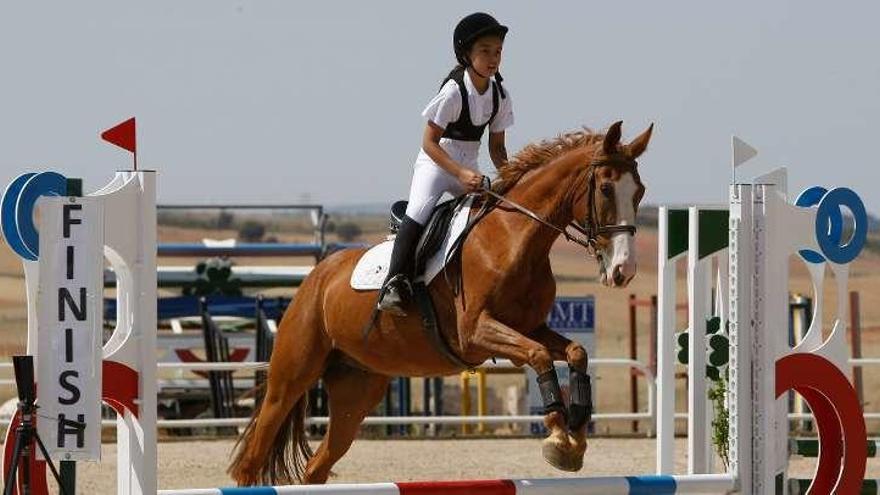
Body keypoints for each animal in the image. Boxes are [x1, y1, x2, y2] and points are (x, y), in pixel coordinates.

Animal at [227, 122, 652, 486]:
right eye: (606, 189)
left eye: (640, 192)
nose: (624, 270)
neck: (513, 238)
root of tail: (317, 276)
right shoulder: (476, 333)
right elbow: (539, 356)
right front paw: (560, 438)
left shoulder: (530, 328)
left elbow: (575, 352)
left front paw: (576, 431)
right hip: (291, 377)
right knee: (253, 456)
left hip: (356, 390)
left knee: (317, 466)